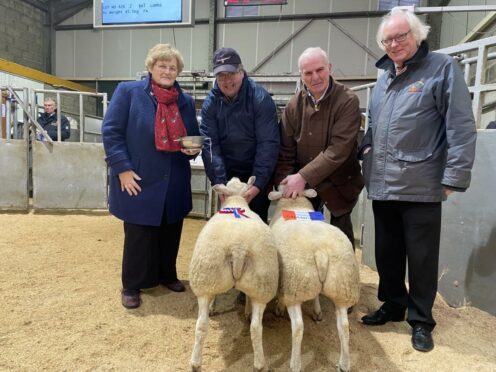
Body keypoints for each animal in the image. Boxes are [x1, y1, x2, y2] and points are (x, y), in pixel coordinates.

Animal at [189, 176, 278, 370]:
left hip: (206, 279)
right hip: (261, 285)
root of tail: (238, 248)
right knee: (255, 327)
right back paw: (259, 364)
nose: (236, 177)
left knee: (202, 324)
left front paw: (214, 307)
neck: (236, 200)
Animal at [268, 189, 360, 372]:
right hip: (341, 286)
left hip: (295, 284)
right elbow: (316, 296)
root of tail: (321, 252)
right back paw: (344, 364)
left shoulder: (284, 282)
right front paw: (317, 312)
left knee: (298, 327)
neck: (295, 204)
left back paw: (295, 364)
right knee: (344, 326)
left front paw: (278, 309)